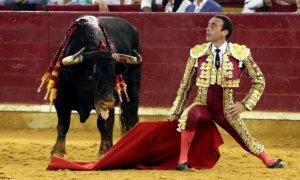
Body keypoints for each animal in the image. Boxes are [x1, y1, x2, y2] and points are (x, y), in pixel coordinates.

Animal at [38, 15, 142, 158]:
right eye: (90, 76)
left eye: (113, 75)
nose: (109, 103)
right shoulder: (60, 102)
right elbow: (63, 125)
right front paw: (57, 152)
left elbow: (104, 124)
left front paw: (105, 150)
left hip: (133, 85)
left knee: (132, 113)